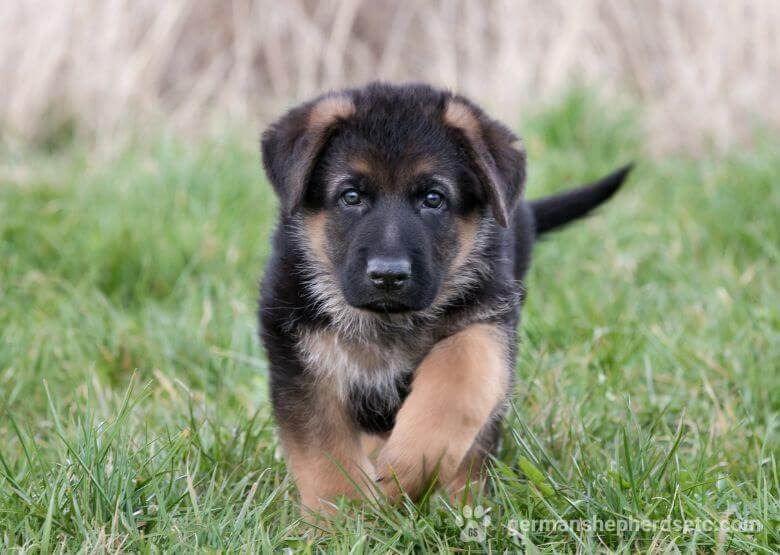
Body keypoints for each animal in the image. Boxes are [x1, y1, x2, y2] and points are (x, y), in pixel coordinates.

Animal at [258, 82, 632, 512]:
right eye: (351, 196)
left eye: (433, 199)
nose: (388, 275)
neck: (387, 322)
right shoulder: (301, 361)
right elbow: (325, 458)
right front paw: (345, 518)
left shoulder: (489, 319)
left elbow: (460, 377)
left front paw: (406, 470)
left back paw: (461, 501)